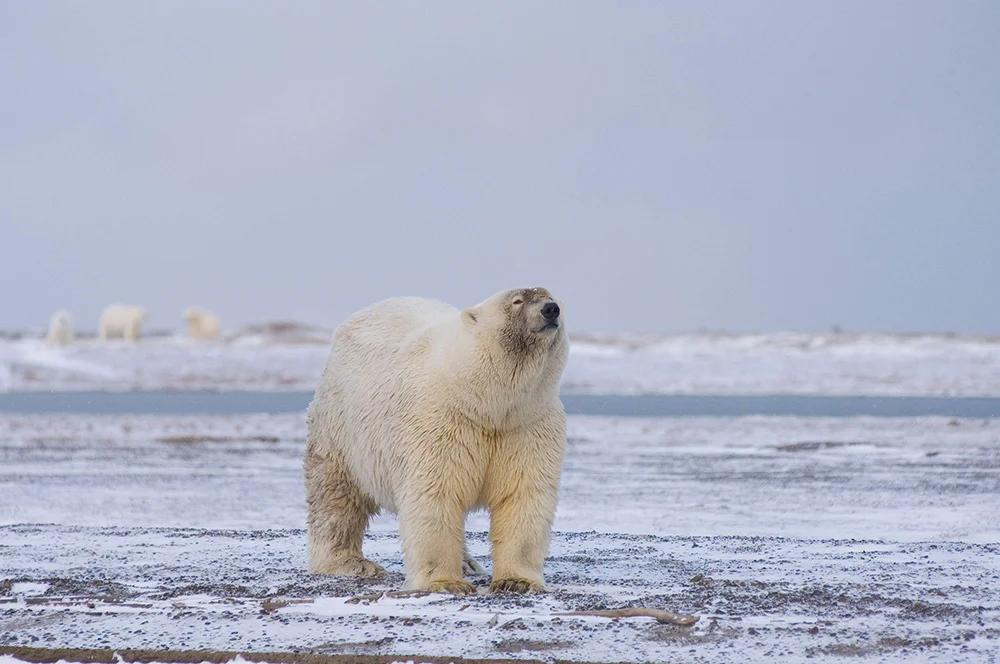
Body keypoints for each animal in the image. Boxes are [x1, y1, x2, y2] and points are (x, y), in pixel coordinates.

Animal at [304, 286, 568, 596]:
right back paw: (349, 562)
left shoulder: (527, 426)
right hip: (341, 426)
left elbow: (522, 495)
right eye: (517, 301)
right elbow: (437, 493)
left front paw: (517, 581)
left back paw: (469, 564)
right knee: (336, 495)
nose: (550, 310)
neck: (483, 401)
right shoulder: (440, 421)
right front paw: (445, 583)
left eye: (553, 298)